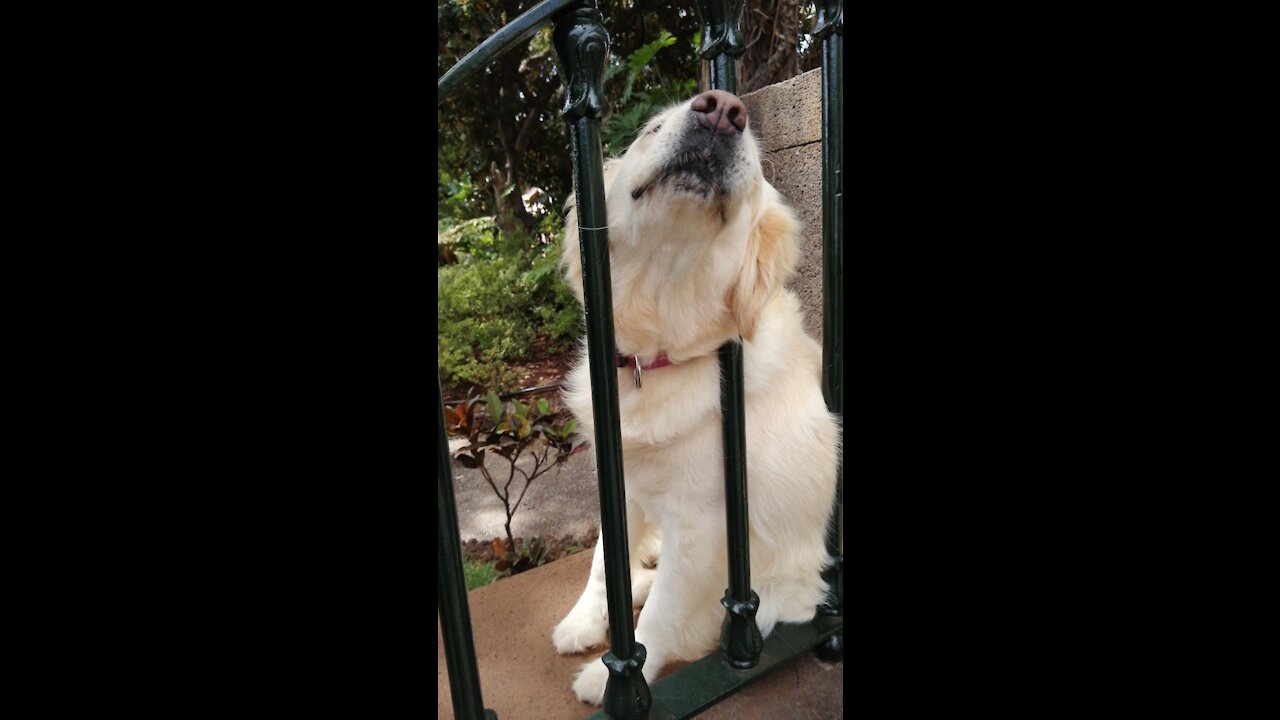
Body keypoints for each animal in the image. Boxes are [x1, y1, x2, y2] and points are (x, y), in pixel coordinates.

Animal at [550, 88, 839, 702]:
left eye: (756, 167)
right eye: (651, 129)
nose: (724, 109)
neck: (655, 357)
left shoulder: (703, 528)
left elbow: (663, 614)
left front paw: (608, 680)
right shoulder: (624, 485)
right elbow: (602, 562)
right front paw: (584, 621)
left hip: (783, 588)